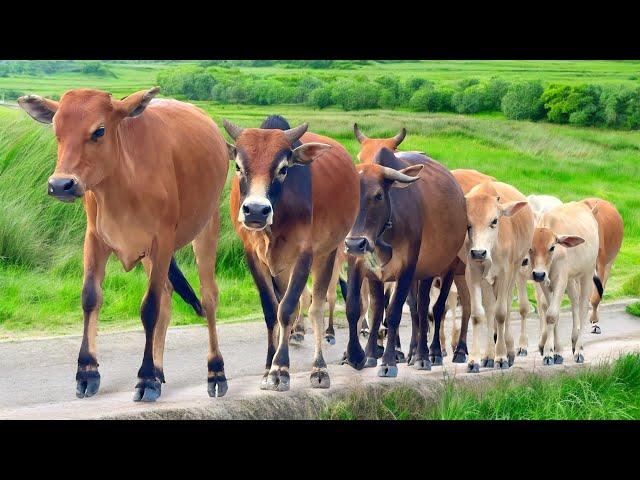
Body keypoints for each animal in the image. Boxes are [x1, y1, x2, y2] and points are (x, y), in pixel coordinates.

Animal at [18, 89, 230, 402]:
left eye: (99, 130)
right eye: (57, 130)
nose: (61, 184)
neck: (121, 186)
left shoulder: (162, 241)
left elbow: (150, 307)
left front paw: (146, 379)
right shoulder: (94, 238)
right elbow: (91, 297)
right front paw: (87, 372)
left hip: (207, 226)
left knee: (208, 297)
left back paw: (215, 372)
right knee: (168, 296)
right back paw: (159, 369)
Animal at [225, 115, 358, 390]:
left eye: (283, 169)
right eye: (239, 167)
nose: (256, 211)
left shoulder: (305, 254)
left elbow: (285, 309)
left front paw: (280, 370)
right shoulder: (254, 256)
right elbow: (271, 311)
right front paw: (268, 368)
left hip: (328, 253)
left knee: (316, 306)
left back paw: (319, 368)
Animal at [462, 180, 532, 372]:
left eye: (494, 221)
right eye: (467, 224)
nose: (479, 252)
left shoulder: (505, 273)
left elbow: (501, 313)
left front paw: (501, 357)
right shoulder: (472, 273)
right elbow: (478, 315)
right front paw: (474, 360)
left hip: (515, 270)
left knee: (505, 306)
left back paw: (509, 351)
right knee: (489, 309)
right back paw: (488, 355)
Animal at [528, 202, 604, 364]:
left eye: (552, 247)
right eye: (530, 248)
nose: (538, 274)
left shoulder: (560, 280)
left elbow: (552, 315)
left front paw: (548, 354)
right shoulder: (545, 283)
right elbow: (552, 315)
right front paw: (556, 352)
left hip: (586, 274)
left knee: (582, 308)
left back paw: (579, 350)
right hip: (571, 279)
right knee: (574, 302)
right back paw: (574, 341)